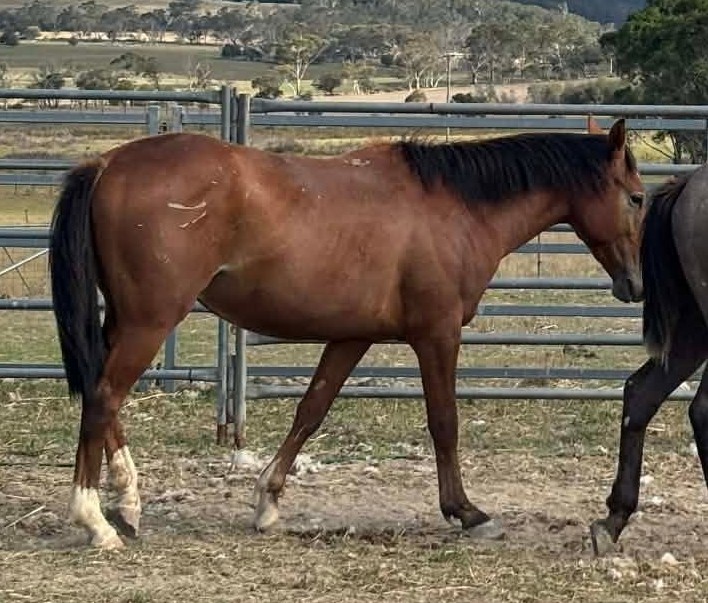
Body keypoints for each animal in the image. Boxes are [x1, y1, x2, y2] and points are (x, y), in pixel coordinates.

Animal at [49, 117, 645, 549]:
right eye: (637, 197)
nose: (636, 284)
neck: (454, 207)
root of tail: (106, 162)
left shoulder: (353, 336)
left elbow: (311, 411)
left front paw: (268, 501)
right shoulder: (436, 334)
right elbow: (444, 422)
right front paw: (467, 512)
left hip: (125, 320)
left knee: (102, 399)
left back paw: (127, 503)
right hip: (150, 320)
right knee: (103, 397)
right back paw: (94, 519)